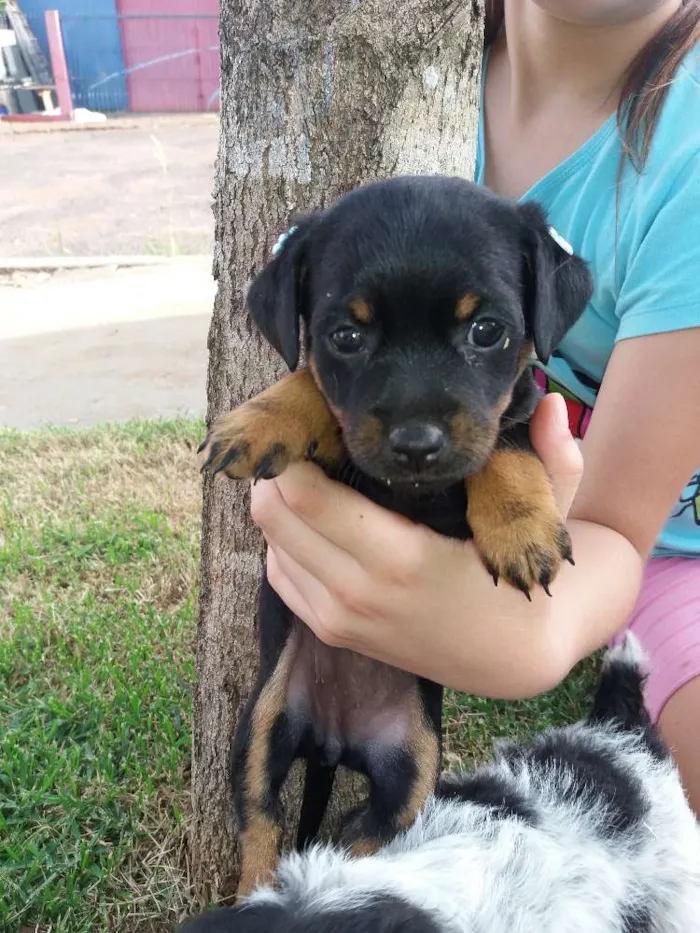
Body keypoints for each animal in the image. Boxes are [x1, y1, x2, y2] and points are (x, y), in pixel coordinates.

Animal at [198, 175, 592, 896]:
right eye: (347, 334)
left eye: (487, 330)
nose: (415, 443)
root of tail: (334, 741)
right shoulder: (343, 443)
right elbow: (311, 381)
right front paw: (260, 420)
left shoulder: (515, 410)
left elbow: (507, 440)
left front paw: (521, 527)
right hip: (262, 726)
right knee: (263, 821)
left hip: (415, 765)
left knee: (362, 836)